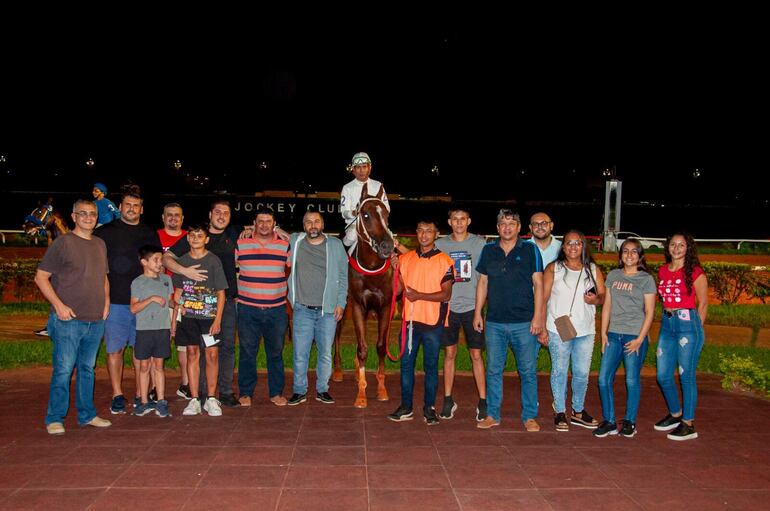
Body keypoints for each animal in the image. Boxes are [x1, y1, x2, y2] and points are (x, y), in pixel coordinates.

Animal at [332, 184, 400, 408]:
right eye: (366, 214)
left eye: (386, 214)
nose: (387, 246)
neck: (371, 269)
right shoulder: (357, 306)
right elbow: (362, 348)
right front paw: (361, 395)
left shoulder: (385, 307)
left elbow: (380, 346)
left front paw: (381, 389)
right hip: (343, 308)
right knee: (336, 335)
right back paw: (337, 370)